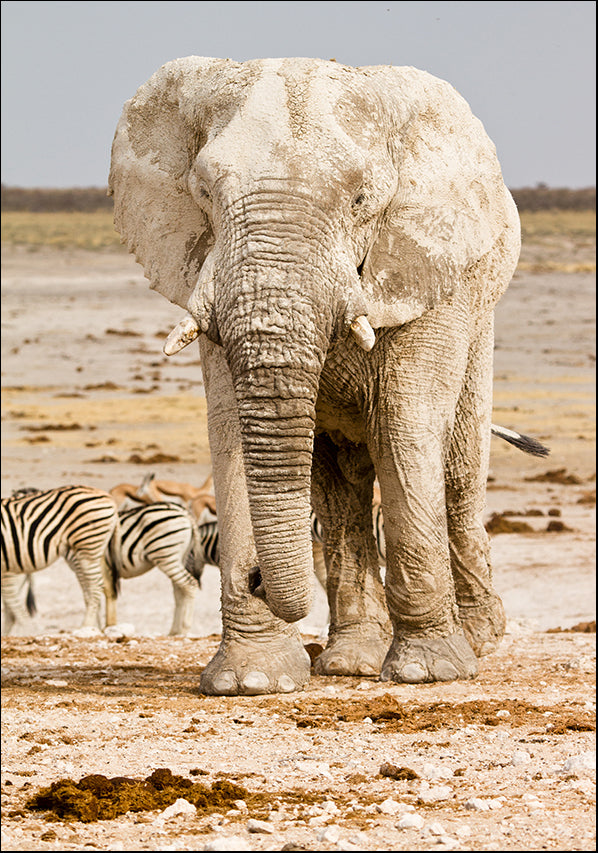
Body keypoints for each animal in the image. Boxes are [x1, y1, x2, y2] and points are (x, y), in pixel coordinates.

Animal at [109, 56, 522, 694]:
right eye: (203, 192)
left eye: (361, 199)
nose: (255, 577)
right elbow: (231, 427)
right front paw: (252, 681)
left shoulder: (429, 271)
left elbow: (402, 423)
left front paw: (427, 674)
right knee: (340, 484)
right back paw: (352, 661)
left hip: (481, 314)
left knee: (457, 464)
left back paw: (477, 642)